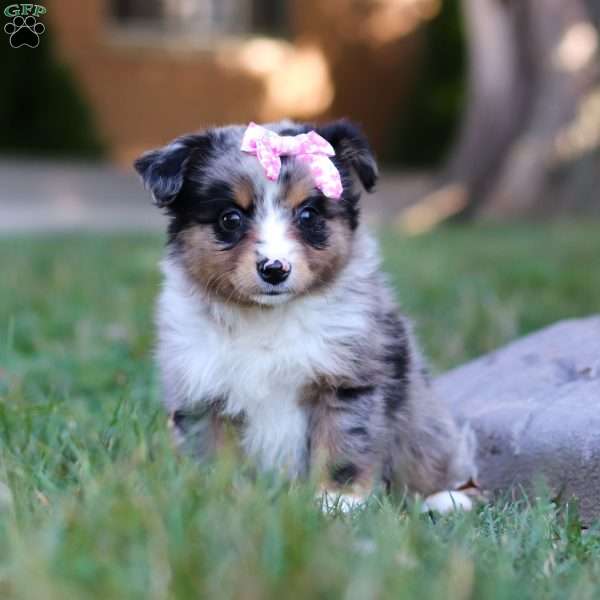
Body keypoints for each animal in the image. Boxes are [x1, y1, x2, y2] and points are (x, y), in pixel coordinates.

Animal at [134, 118, 476, 510]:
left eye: (308, 214)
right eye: (230, 218)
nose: (274, 269)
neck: (266, 320)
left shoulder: (346, 382)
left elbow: (342, 446)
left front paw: (338, 503)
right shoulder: (201, 394)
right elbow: (213, 455)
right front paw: (217, 499)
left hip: (425, 423)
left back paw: (446, 499)